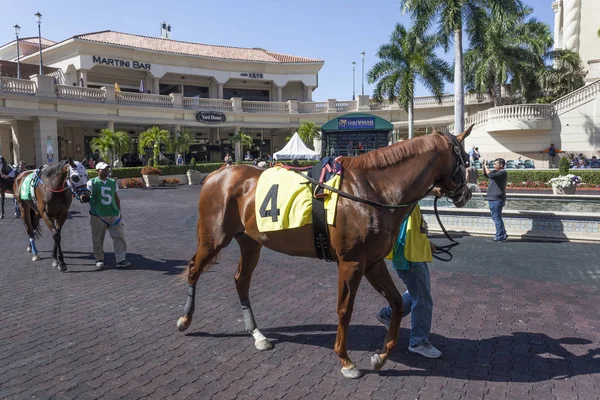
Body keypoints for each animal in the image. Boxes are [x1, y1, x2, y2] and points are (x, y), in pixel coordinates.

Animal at [177, 126, 474, 378]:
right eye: (465, 159)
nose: (467, 194)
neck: (373, 190)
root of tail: (217, 174)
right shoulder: (351, 261)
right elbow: (344, 309)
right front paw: (346, 360)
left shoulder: (372, 262)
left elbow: (398, 304)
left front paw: (380, 357)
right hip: (214, 238)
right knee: (193, 269)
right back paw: (184, 320)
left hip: (250, 242)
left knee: (241, 280)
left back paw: (258, 335)